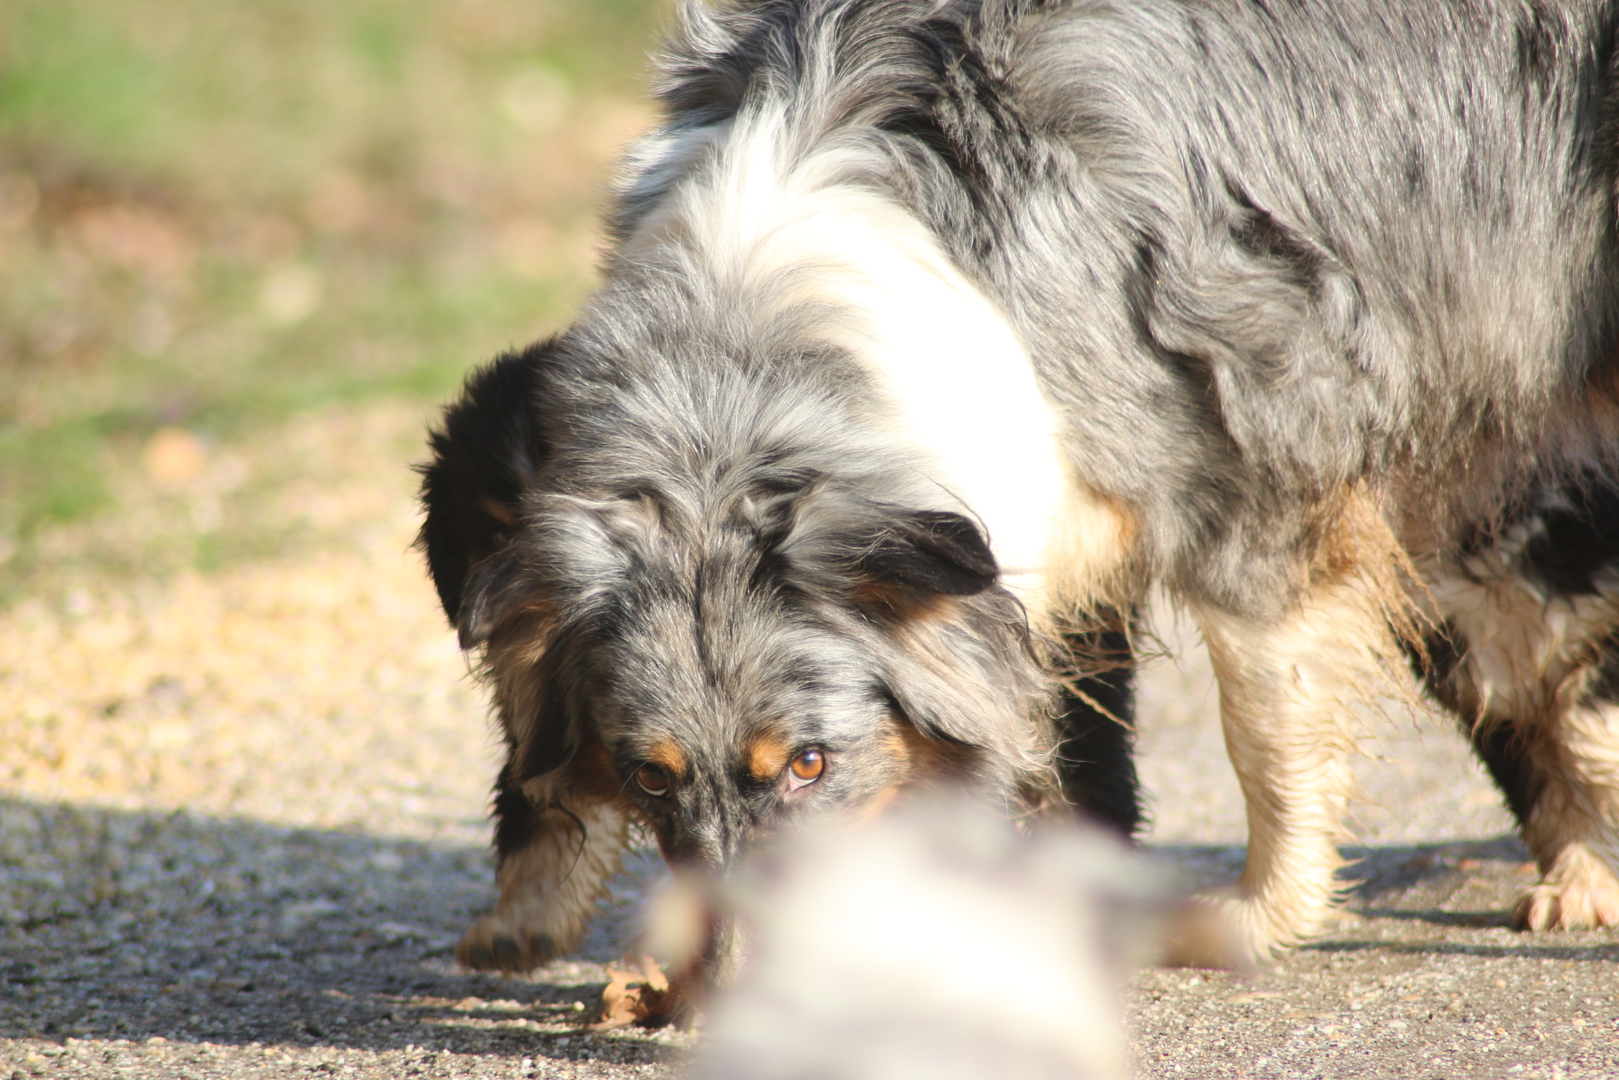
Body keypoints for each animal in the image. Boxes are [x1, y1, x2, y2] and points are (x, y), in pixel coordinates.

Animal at [421, 0, 1619, 970]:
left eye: (808, 762)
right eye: (650, 777)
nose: (736, 970)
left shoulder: (1249, 453)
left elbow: (1265, 721)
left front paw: (1246, 921)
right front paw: (529, 914)